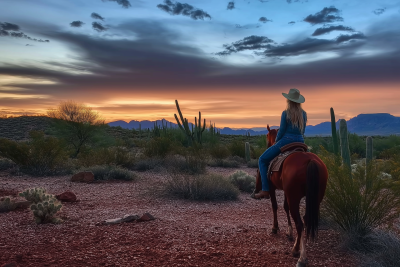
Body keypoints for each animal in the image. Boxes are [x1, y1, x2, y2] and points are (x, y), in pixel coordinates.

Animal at [255, 125, 330, 267]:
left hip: (294, 197)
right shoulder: (286, 191)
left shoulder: (273, 189)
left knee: (300, 223)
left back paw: (299, 254)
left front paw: (275, 228)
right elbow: (285, 207)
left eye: (267, 135)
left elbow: (275, 206)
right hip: (315, 198)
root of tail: (310, 160)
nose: (267, 145)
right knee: (305, 219)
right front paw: (289, 232)